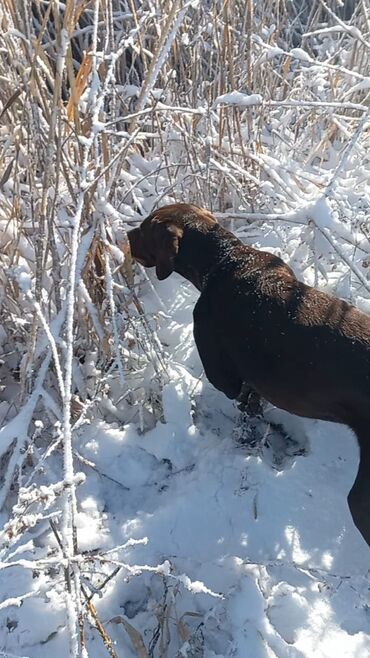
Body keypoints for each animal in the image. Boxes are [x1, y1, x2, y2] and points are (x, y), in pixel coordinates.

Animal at [127, 202, 370, 544]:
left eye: (146, 227)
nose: (126, 234)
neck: (225, 259)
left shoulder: (223, 374)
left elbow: (244, 399)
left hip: (361, 499)